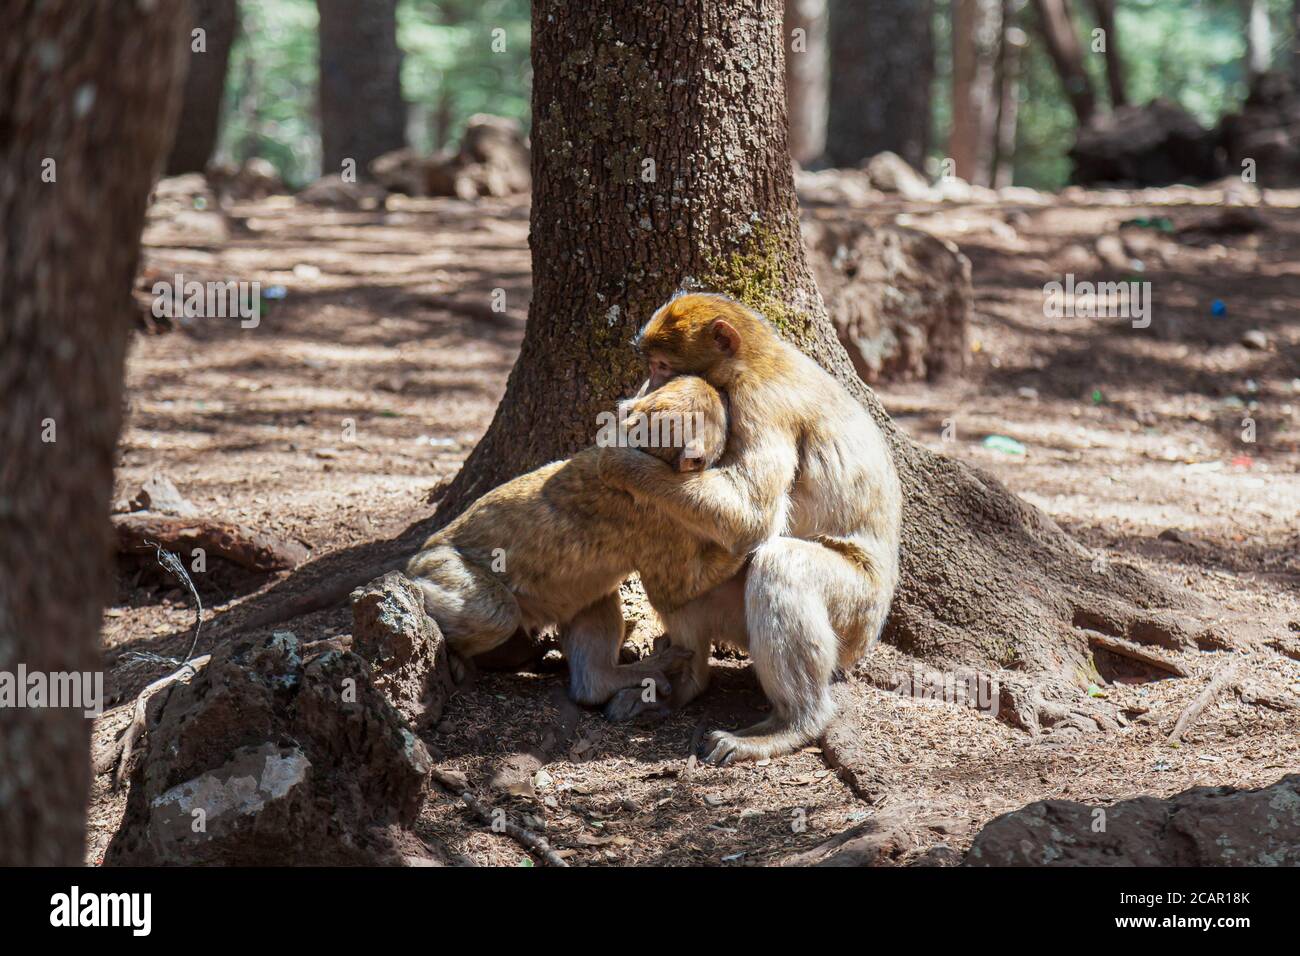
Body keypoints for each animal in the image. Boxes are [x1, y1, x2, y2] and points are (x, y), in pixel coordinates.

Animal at [404, 374, 745, 710]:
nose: (724, 393)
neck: (646, 452)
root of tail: (419, 555)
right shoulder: (666, 522)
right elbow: (675, 591)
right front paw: (745, 543)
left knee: (593, 599)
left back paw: (602, 682)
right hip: (441, 567)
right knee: (497, 614)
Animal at [596, 292, 903, 764]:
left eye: (662, 365)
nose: (644, 389)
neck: (757, 359)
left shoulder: (761, 405)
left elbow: (754, 519)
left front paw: (617, 455)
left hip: (856, 614)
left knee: (782, 564)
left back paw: (794, 723)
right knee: (676, 575)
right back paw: (685, 686)